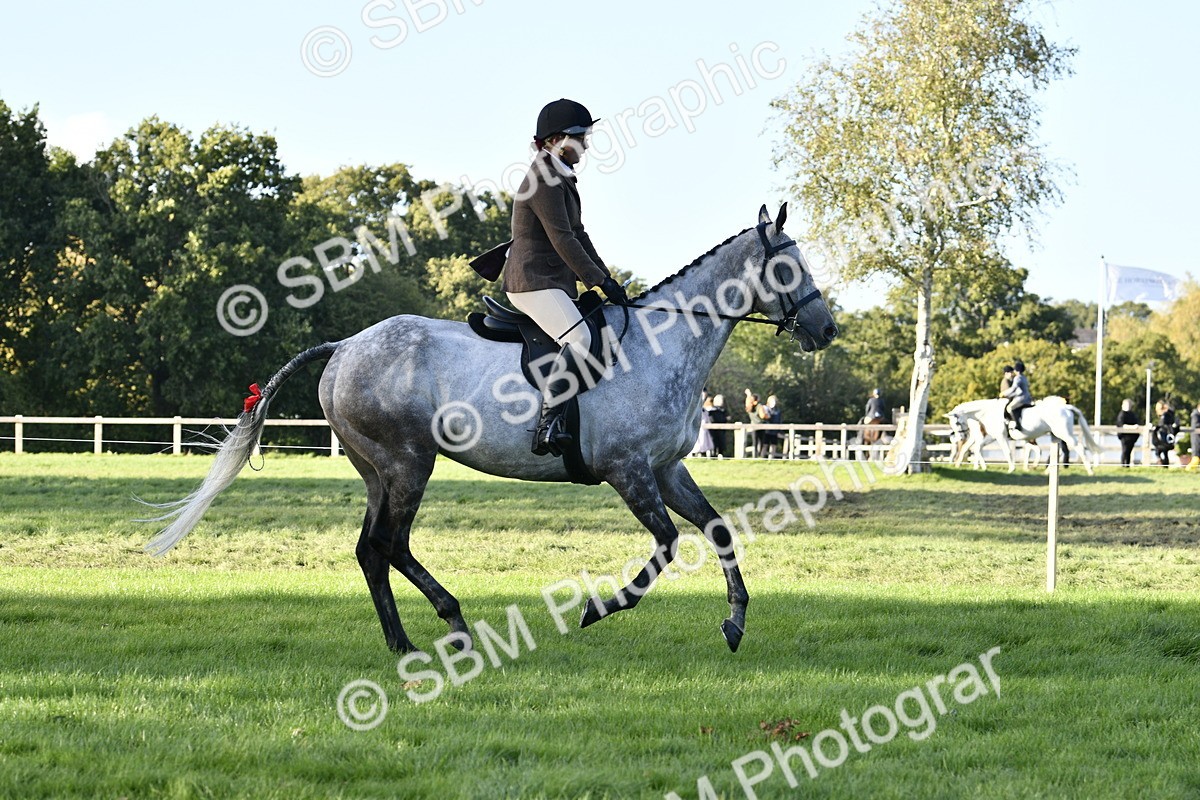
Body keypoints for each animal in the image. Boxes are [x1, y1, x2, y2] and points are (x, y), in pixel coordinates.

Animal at [143, 204, 838, 654]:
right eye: (788, 269)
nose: (827, 331)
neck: (663, 342)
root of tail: (344, 347)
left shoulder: (667, 468)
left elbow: (716, 529)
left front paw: (736, 623)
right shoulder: (630, 472)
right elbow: (666, 544)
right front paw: (599, 607)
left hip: (380, 471)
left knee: (374, 549)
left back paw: (414, 637)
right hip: (408, 463)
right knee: (388, 545)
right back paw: (438, 630)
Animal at [945, 396, 1100, 475]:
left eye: (957, 422)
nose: (960, 437)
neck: (987, 412)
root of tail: (1066, 407)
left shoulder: (1000, 436)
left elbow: (1007, 451)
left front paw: (1012, 469)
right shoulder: (993, 436)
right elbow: (979, 449)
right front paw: (984, 468)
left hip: (1063, 433)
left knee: (1079, 448)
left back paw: (1090, 470)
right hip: (1056, 435)